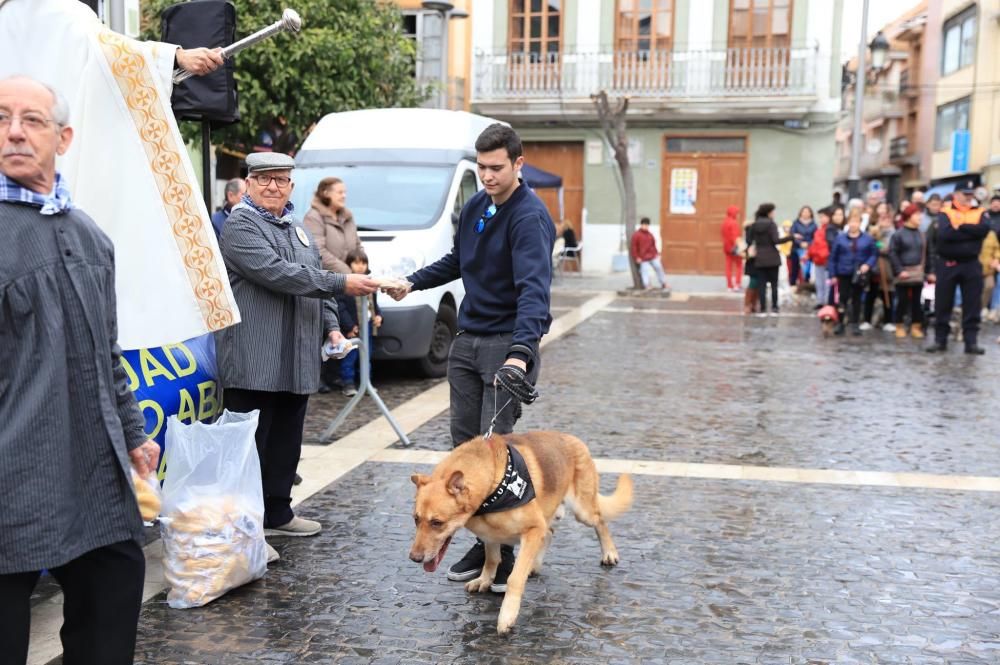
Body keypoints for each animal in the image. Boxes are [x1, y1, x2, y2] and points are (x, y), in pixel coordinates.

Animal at [406, 430, 632, 632]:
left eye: (437, 522)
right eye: (416, 519)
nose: (414, 558)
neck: (493, 486)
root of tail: (573, 439)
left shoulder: (532, 529)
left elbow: (514, 578)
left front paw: (507, 616)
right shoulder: (490, 535)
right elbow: (491, 560)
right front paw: (485, 580)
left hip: (582, 511)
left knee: (600, 521)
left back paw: (609, 553)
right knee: (550, 533)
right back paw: (534, 565)